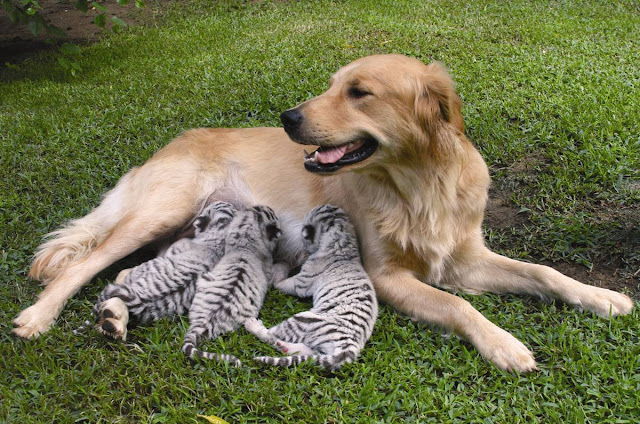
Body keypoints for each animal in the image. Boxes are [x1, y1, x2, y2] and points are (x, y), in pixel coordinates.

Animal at [12, 53, 632, 372]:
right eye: (332, 85)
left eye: (359, 92)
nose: (288, 117)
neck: (416, 182)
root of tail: (172, 143)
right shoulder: (387, 277)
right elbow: (459, 308)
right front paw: (505, 345)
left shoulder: (463, 258)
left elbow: (543, 272)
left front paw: (601, 297)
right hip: (159, 212)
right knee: (84, 264)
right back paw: (39, 318)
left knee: (126, 273)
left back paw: (115, 317)